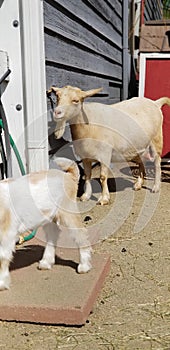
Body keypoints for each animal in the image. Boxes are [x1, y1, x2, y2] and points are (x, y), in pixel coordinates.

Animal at [0, 158, 91, 290]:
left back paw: (84, 266)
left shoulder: (6, 234)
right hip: (49, 217)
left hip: (68, 212)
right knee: (53, 234)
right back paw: (46, 262)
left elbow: (2, 257)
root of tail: (68, 175)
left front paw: (2, 283)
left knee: (80, 234)